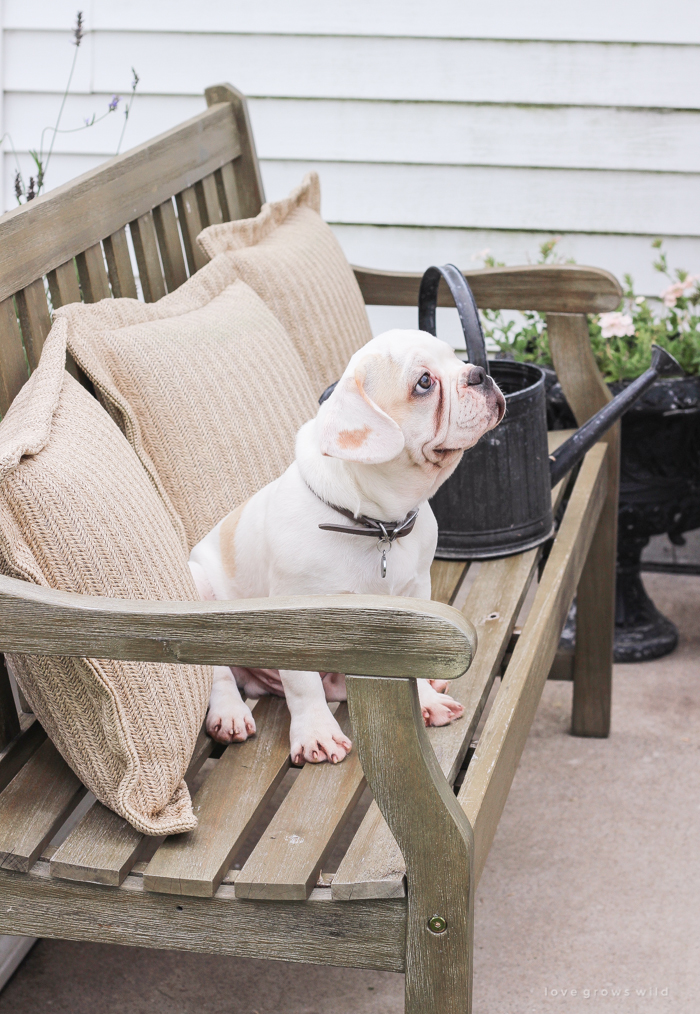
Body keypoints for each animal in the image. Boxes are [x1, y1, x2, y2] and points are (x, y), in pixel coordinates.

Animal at [187, 328, 505, 762]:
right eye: (424, 382)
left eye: (456, 359)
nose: (479, 373)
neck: (379, 525)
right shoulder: (295, 617)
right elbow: (303, 684)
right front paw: (317, 733)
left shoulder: (416, 596)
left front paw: (425, 698)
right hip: (199, 585)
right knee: (220, 674)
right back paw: (230, 713)